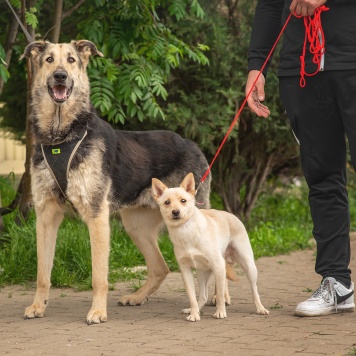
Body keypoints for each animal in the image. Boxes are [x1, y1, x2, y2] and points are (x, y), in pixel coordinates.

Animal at [20, 40, 211, 324]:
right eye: (49, 60)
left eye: (71, 60)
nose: (60, 76)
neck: (61, 138)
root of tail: (193, 145)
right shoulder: (46, 217)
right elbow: (42, 273)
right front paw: (38, 306)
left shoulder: (97, 216)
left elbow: (99, 276)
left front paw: (98, 311)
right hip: (136, 227)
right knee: (160, 267)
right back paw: (137, 297)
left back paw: (220, 299)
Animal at [152, 174, 268, 322]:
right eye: (167, 202)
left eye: (183, 200)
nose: (175, 212)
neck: (186, 230)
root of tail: (232, 215)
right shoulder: (185, 271)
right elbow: (192, 296)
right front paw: (194, 314)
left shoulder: (218, 266)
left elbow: (220, 295)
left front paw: (220, 312)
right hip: (202, 273)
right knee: (203, 296)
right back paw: (194, 310)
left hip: (248, 266)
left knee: (254, 290)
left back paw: (260, 308)